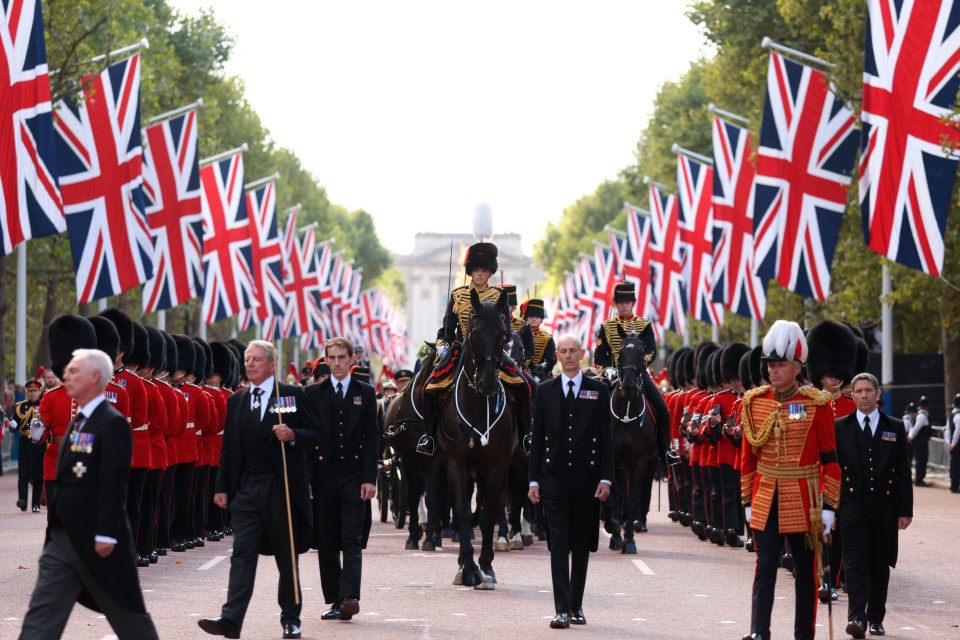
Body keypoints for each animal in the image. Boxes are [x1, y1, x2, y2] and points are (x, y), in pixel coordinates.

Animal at [440, 288, 516, 588]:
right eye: (473, 334)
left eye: (503, 335)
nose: (488, 384)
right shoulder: (455, 463)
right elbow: (462, 510)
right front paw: (468, 568)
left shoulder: (497, 467)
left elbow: (487, 515)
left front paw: (486, 567)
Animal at [604, 328, 664, 552]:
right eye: (620, 353)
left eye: (641, 353)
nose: (629, 385)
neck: (627, 413)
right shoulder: (613, 461)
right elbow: (616, 496)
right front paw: (615, 537)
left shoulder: (638, 463)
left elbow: (631, 500)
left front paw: (629, 540)